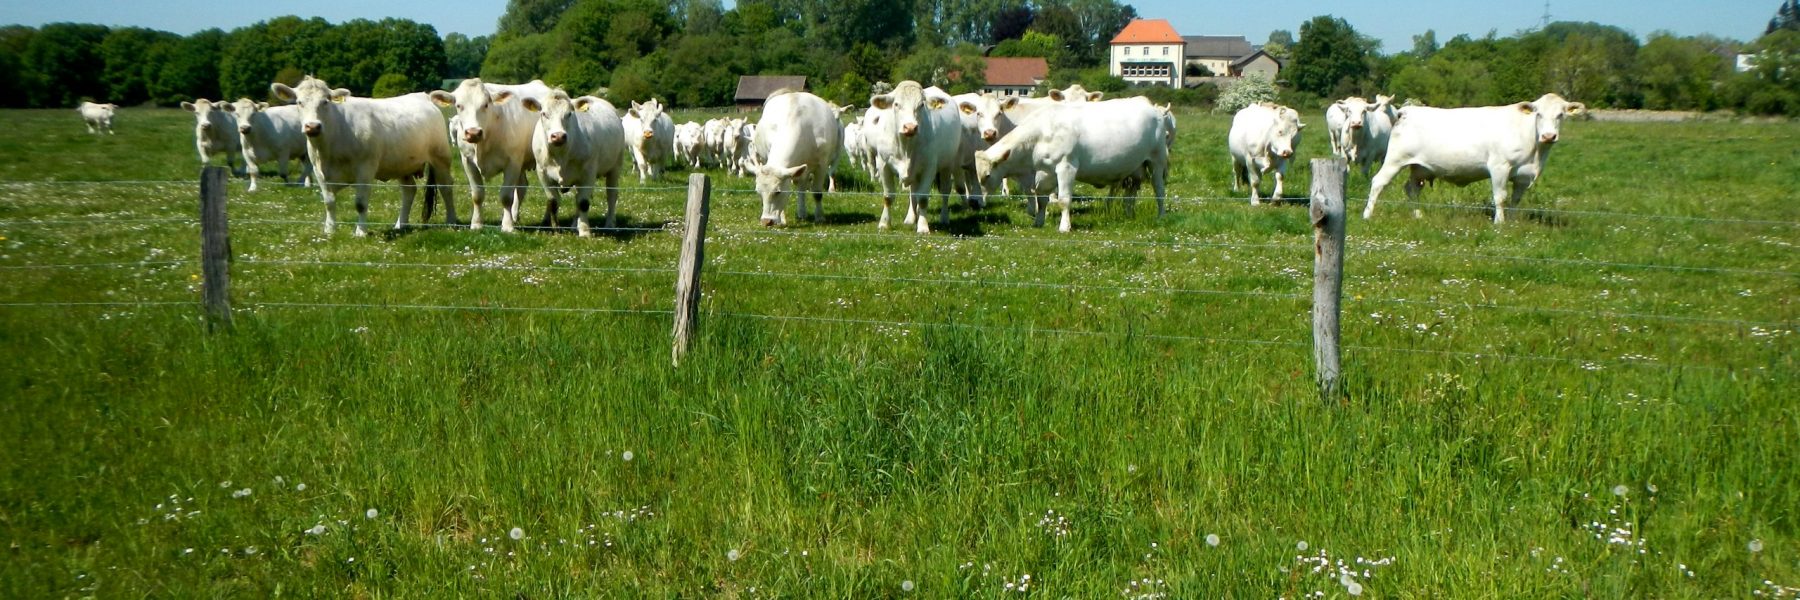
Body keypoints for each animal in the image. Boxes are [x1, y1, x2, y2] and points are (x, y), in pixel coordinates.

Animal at [430, 77, 547, 230]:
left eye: (485, 105)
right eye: (459, 105)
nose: (473, 132)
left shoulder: (513, 162)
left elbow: (506, 196)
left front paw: (507, 226)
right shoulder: (467, 161)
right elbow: (477, 194)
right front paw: (477, 224)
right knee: (522, 186)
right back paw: (515, 216)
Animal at [522, 88, 626, 236]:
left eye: (569, 114)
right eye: (544, 114)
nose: (558, 136)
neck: (560, 156)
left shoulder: (589, 172)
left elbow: (583, 202)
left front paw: (584, 232)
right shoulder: (542, 173)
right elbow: (553, 202)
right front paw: (557, 231)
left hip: (615, 167)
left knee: (611, 195)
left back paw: (609, 224)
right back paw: (573, 225)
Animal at [860, 82, 964, 232]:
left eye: (921, 105)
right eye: (896, 104)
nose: (910, 127)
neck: (906, 147)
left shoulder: (929, 167)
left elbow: (923, 198)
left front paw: (923, 226)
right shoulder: (883, 164)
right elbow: (888, 196)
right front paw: (884, 223)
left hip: (947, 165)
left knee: (945, 191)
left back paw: (944, 218)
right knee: (912, 193)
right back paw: (910, 218)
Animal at [979, 99, 1173, 229]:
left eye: (987, 176)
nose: (976, 202)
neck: (1042, 132)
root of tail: (1153, 109)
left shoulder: (1066, 167)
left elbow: (1064, 200)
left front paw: (1065, 227)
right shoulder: (1046, 171)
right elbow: (1041, 198)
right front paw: (1039, 222)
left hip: (1156, 161)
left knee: (1159, 190)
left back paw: (1161, 216)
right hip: (1135, 169)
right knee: (1130, 194)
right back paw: (1128, 214)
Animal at [1360, 92, 1591, 223]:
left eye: (1561, 115)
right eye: (1538, 114)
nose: (1549, 136)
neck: (1535, 151)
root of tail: (1406, 111)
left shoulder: (1523, 176)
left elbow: (1516, 200)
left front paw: (1513, 222)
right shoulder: (1499, 166)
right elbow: (1500, 197)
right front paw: (1499, 223)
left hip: (1419, 167)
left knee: (1412, 189)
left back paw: (1418, 215)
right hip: (1395, 160)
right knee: (1378, 183)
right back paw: (1367, 215)